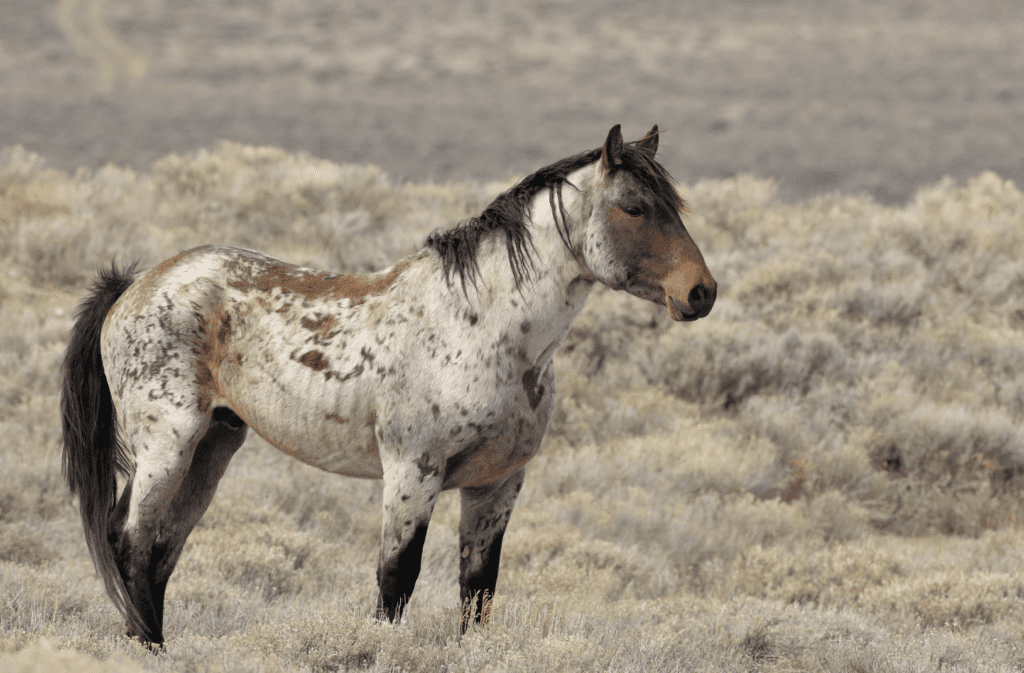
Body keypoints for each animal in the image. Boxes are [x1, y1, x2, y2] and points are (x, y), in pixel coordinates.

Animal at [59, 123, 716, 643]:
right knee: (132, 542)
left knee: (159, 550)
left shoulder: (498, 484)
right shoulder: (411, 473)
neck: (481, 328)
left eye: (675, 204)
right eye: (634, 206)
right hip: (169, 444)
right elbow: (395, 583)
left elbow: (477, 592)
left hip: (213, 447)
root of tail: (136, 284)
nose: (700, 292)